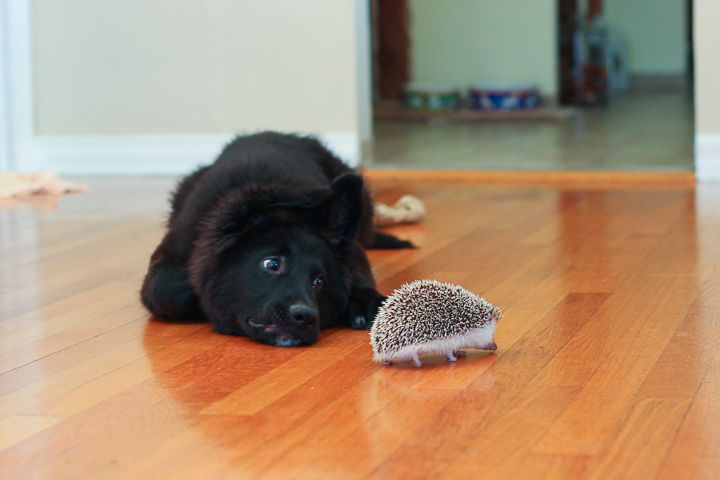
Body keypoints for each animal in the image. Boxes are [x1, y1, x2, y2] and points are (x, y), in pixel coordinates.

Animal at [140, 132, 412, 346]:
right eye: (272, 264)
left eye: (319, 281)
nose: (306, 317)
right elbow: (170, 290)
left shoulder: (351, 249)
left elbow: (358, 271)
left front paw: (366, 300)